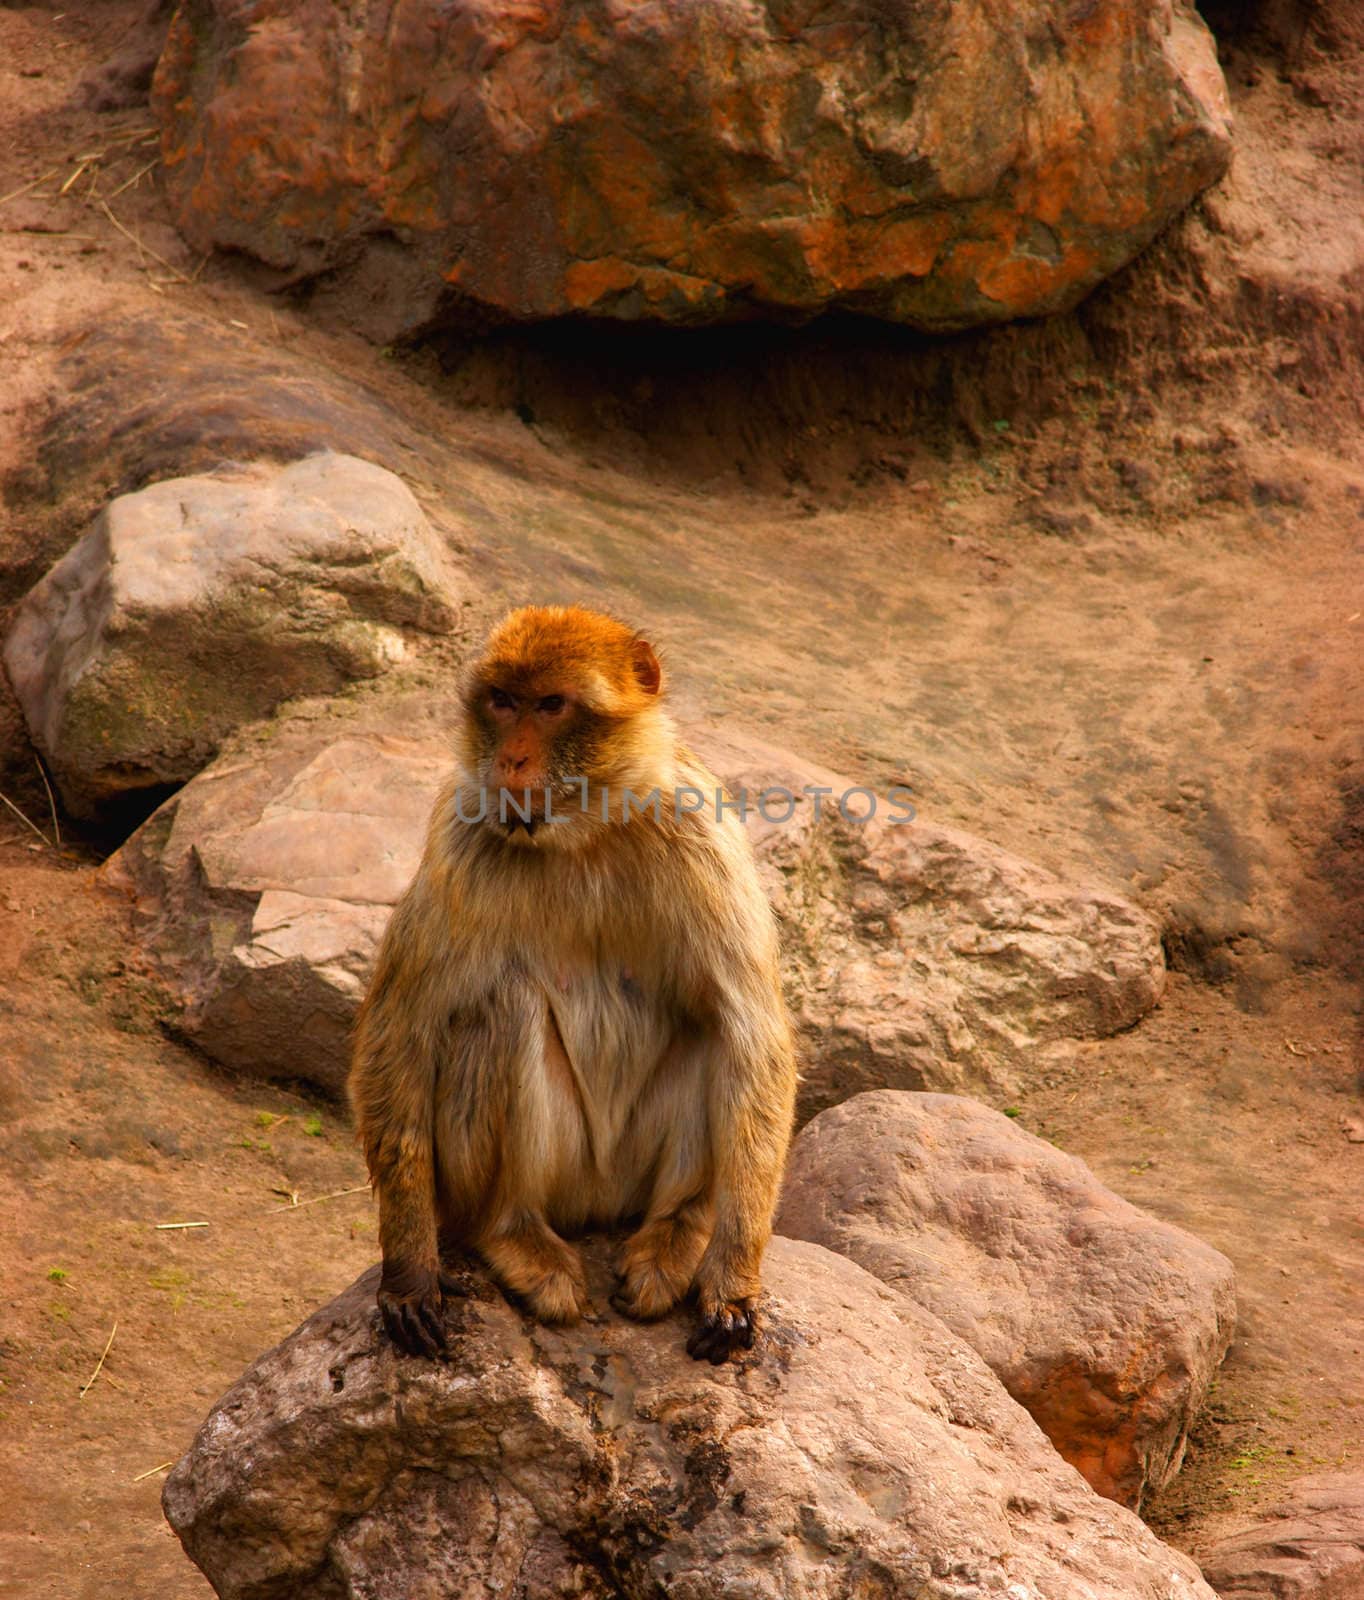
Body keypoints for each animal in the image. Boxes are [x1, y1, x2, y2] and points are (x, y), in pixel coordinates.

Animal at [349, 601, 800, 1363]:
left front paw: (733, 1281)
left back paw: (677, 1232)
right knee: (502, 1008)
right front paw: (409, 1271)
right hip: (553, 1178)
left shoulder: (702, 833)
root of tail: (597, 1209)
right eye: (503, 702)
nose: (510, 760)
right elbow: (401, 1035)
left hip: (630, 1178)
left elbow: (752, 1035)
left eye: (551, 705)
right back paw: (512, 1233)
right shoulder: (460, 838)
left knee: (712, 1031)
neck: (586, 831)